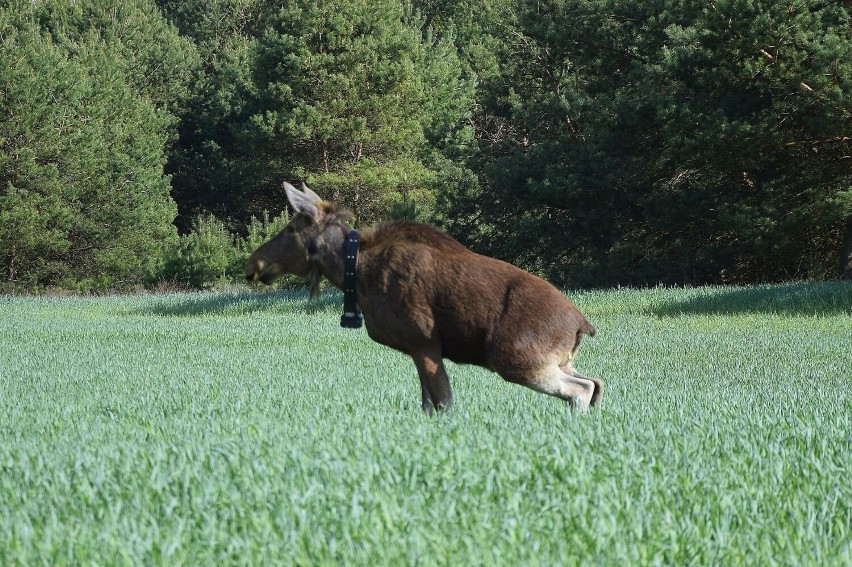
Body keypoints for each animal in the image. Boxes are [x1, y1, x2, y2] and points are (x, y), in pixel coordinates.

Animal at [246, 185, 604, 412]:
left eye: (291, 229)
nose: (254, 264)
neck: (356, 275)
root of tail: (582, 325)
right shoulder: (418, 349)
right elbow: (428, 406)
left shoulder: (424, 342)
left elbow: (444, 404)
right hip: (557, 359)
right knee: (596, 383)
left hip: (515, 357)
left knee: (582, 390)